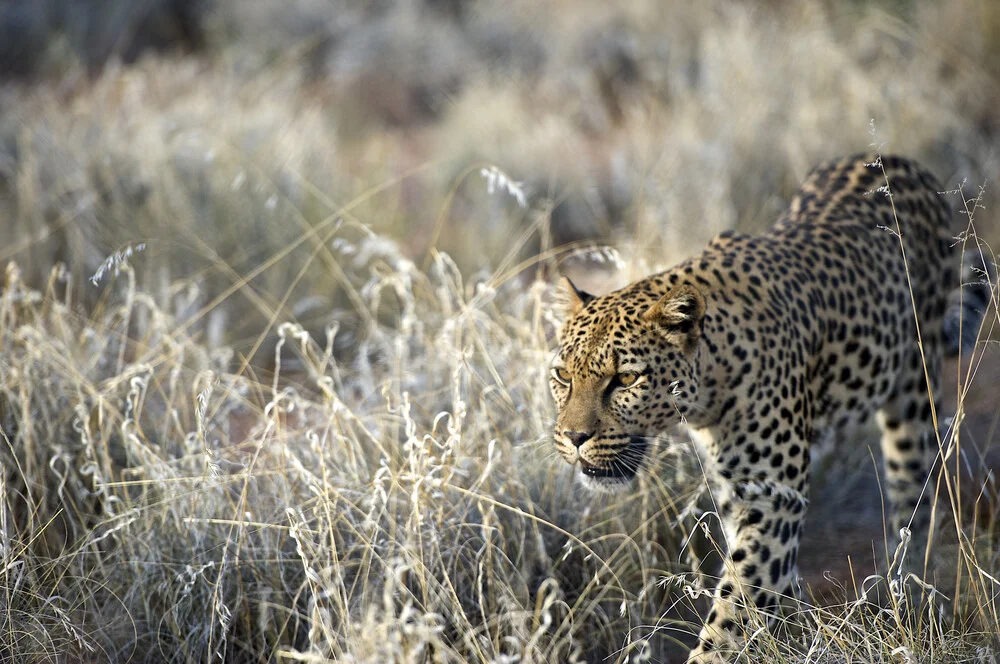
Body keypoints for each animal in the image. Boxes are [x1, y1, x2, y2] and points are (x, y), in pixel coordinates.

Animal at [548, 153, 984, 660]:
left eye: (626, 379)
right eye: (563, 376)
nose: (574, 438)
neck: (708, 389)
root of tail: (903, 161)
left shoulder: (772, 496)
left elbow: (735, 605)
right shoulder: (736, 490)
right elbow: (762, 583)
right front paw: (796, 626)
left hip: (914, 392)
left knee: (915, 499)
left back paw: (905, 588)